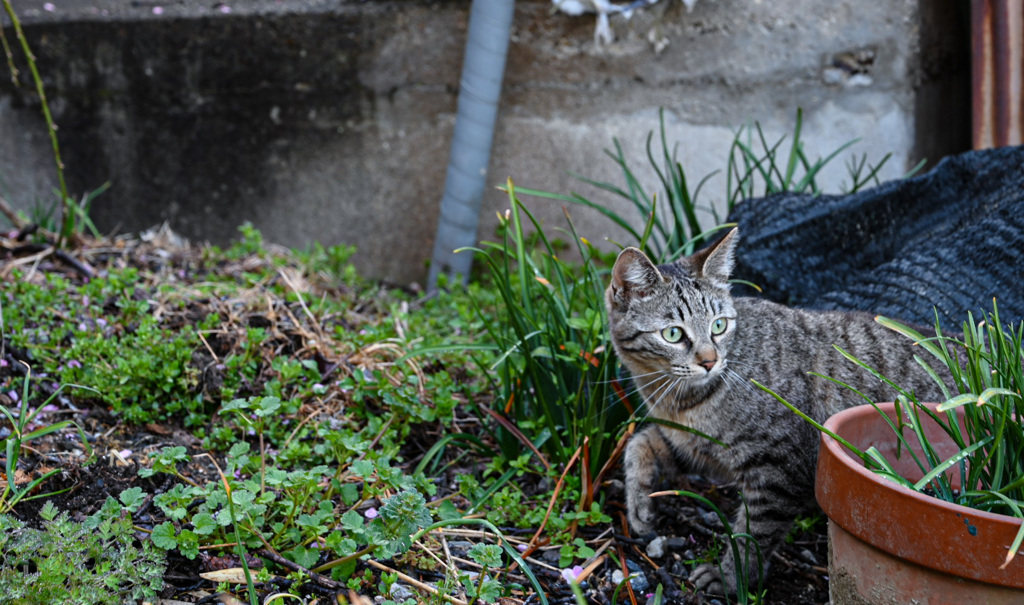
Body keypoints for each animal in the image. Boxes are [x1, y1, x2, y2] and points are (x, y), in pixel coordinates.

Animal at [602, 229, 946, 593]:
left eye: (719, 326)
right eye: (673, 334)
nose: (710, 361)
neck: (677, 401)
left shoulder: (777, 470)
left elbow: (754, 535)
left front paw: (731, 577)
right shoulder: (691, 443)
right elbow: (638, 442)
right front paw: (638, 503)